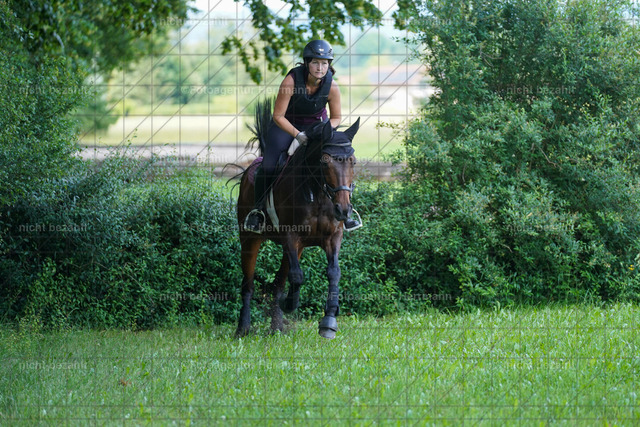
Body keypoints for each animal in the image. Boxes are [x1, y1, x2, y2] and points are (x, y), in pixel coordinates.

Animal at [236, 100, 360, 339]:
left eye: (353, 162)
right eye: (325, 161)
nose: (343, 210)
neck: (318, 193)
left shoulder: (333, 237)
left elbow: (333, 273)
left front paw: (329, 320)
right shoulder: (290, 236)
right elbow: (297, 276)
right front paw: (291, 305)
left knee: (278, 283)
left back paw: (276, 326)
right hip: (249, 240)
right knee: (248, 284)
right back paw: (243, 327)